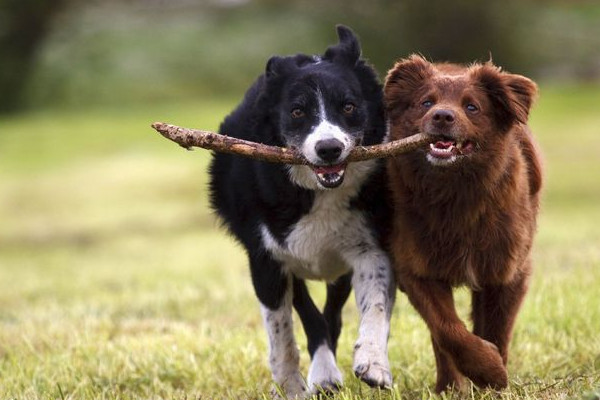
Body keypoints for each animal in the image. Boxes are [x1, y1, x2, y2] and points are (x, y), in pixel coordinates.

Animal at [209, 25, 396, 396]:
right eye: (297, 111)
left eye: (349, 106)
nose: (329, 148)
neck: (319, 193)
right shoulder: (266, 258)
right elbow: (281, 331)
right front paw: (290, 385)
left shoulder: (370, 247)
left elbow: (376, 307)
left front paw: (373, 364)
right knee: (310, 316)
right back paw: (322, 376)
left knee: (332, 315)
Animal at [384, 54, 544, 392]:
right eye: (426, 102)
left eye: (472, 106)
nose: (442, 116)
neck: (456, 193)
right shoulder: (417, 269)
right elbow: (447, 330)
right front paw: (487, 369)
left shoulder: (507, 271)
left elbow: (497, 328)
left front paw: (495, 381)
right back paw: (449, 386)